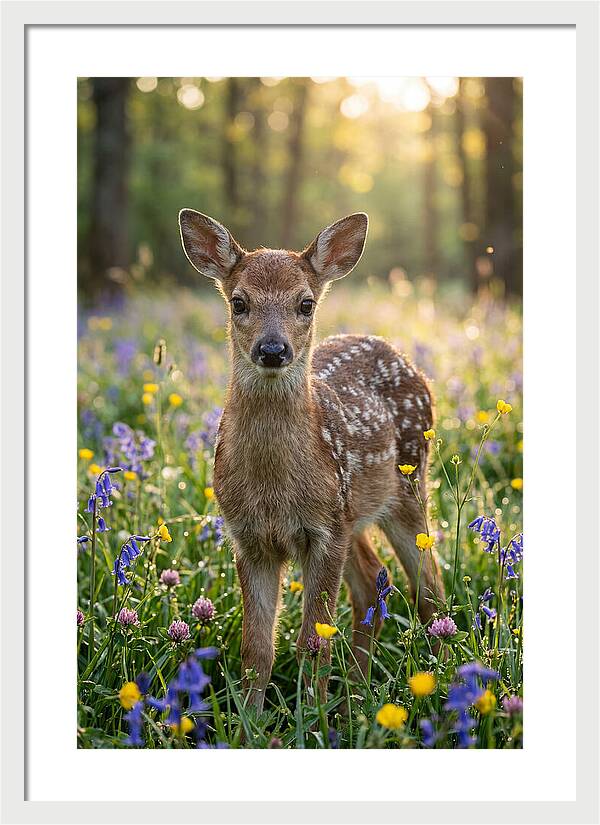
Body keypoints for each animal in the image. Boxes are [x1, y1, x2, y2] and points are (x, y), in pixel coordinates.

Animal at [179, 209, 444, 713]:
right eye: (239, 302)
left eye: (305, 303)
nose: (272, 349)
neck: (273, 488)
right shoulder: (249, 537)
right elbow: (256, 647)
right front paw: (250, 720)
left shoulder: (323, 531)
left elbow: (313, 641)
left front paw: (311, 717)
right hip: (353, 514)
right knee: (372, 583)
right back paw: (356, 696)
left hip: (405, 487)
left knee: (430, 590)